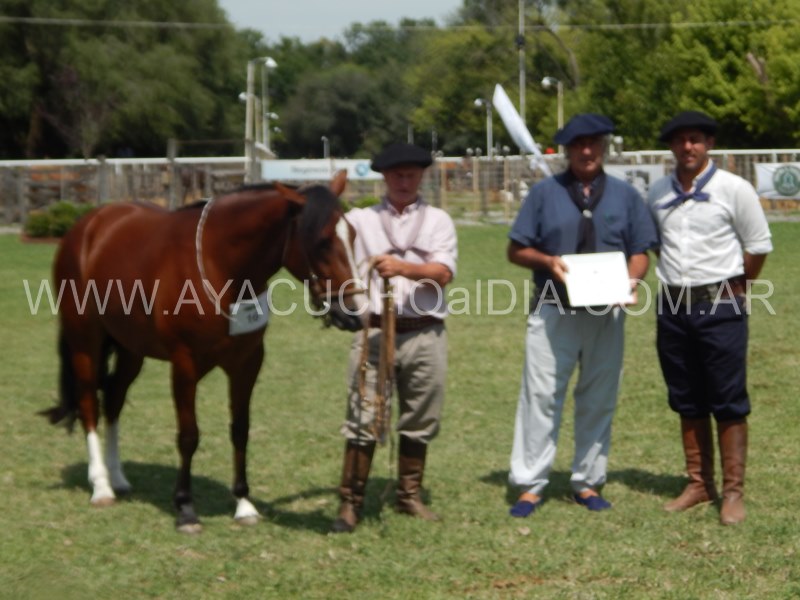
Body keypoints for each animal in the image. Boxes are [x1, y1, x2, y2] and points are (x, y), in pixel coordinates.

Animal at [39, 170, 367, 533]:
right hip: (85, 341)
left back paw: (118, 477)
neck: (220, 264)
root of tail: (88, 226)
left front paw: (244, 504)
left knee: (113, 400)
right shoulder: (184, 365)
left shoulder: (247, 363)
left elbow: (240, 430)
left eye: (353, 235)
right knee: (89, 404)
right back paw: (101, 486)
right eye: (322, 241)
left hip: (130, 350)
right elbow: (189, 435)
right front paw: (185, 508)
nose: (354, 314)